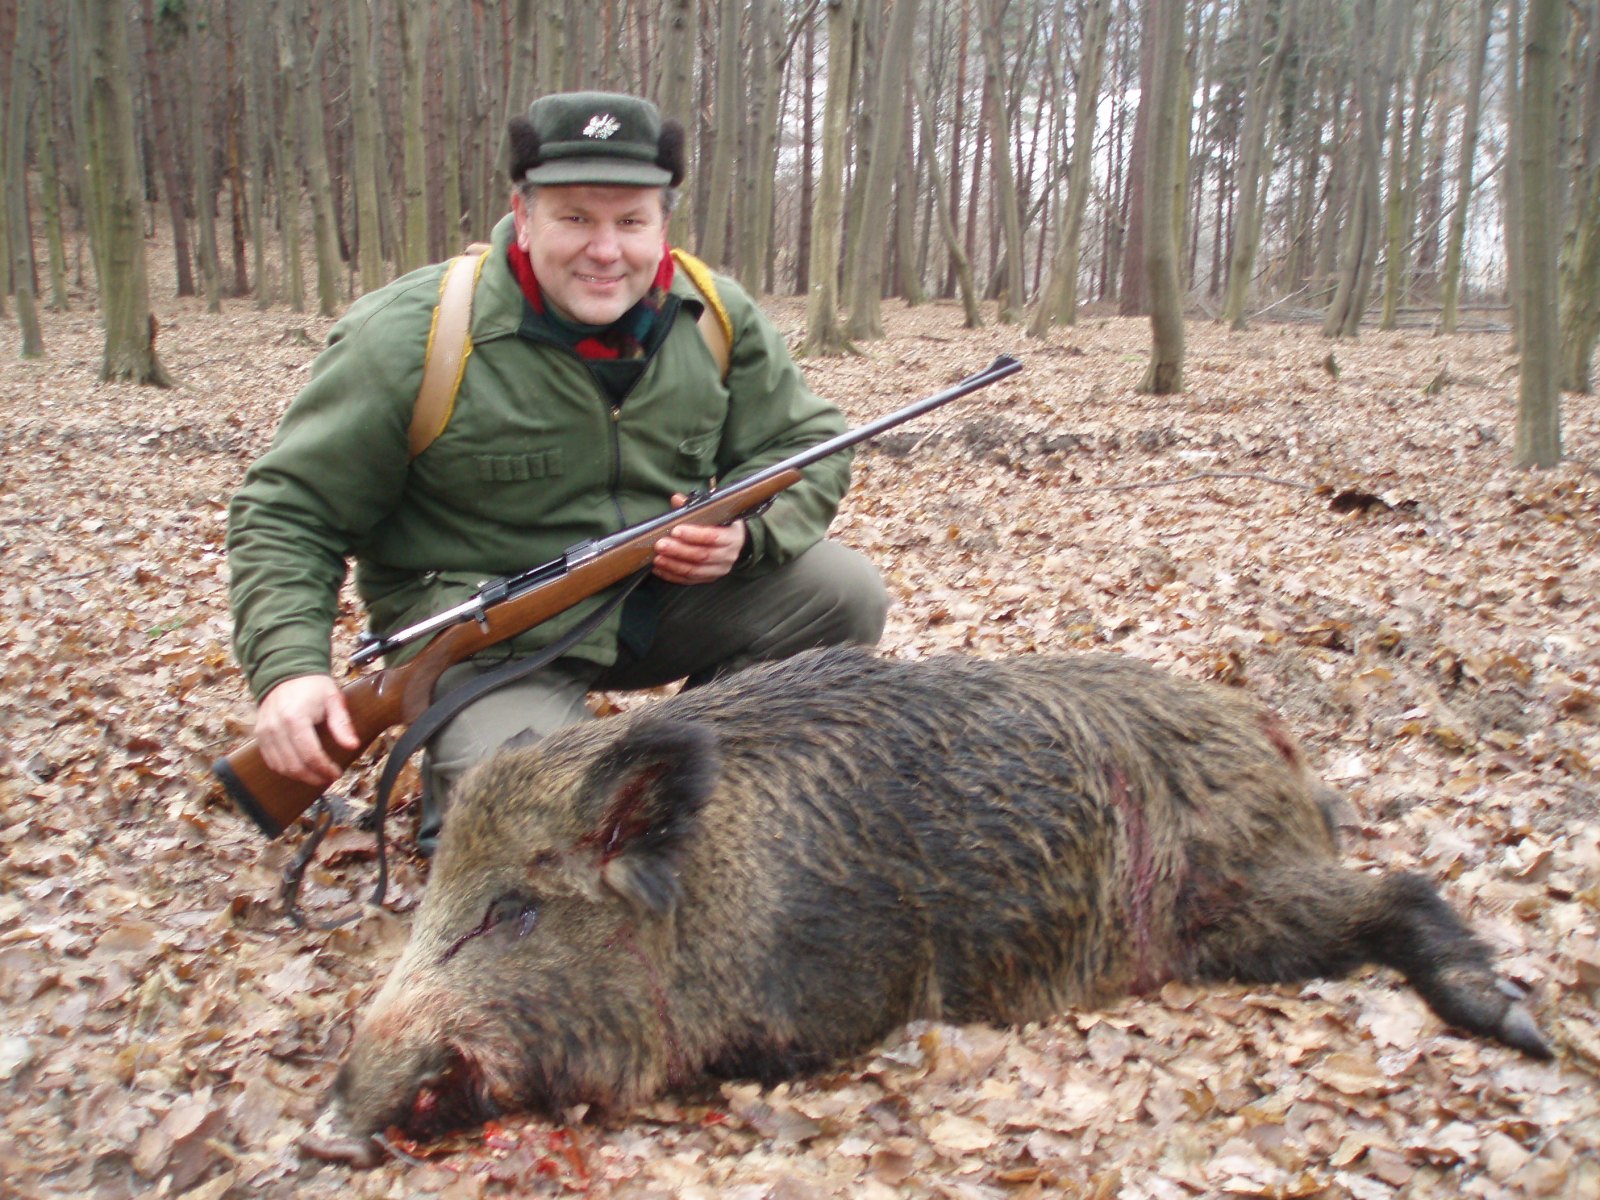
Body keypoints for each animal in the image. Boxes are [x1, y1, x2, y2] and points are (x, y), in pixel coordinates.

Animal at [300, 646, 1550, 1167]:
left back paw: (1521, 1029)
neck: (724, 895)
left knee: (1402, 888)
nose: (328, 1124)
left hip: (1239, 898)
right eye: (432, 903)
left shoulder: (836, 1000)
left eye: (514, 910)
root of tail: (1275, 739)